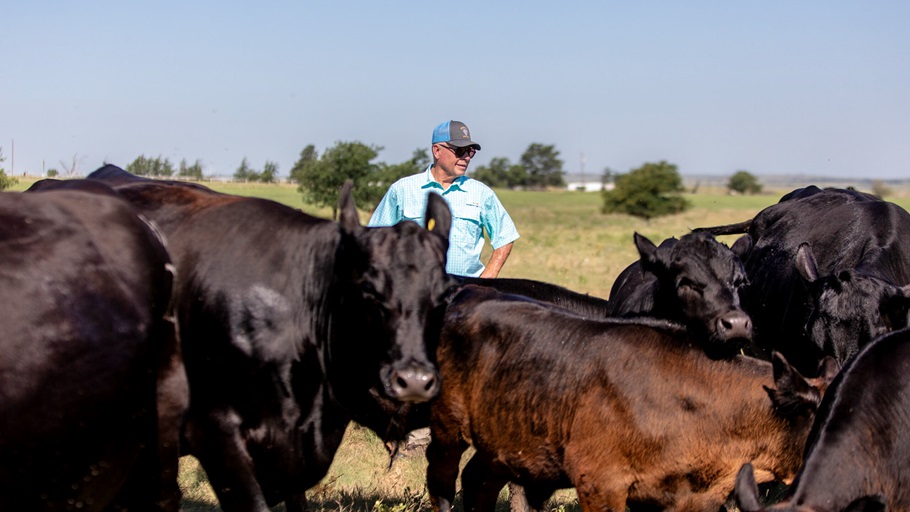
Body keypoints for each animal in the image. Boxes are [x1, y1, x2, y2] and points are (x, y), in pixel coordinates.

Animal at [426, 285, 834, 512]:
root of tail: (470, 293)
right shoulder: (600, 482)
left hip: (502, 442)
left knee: (478, 480)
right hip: (447, 428)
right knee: (442, 480)